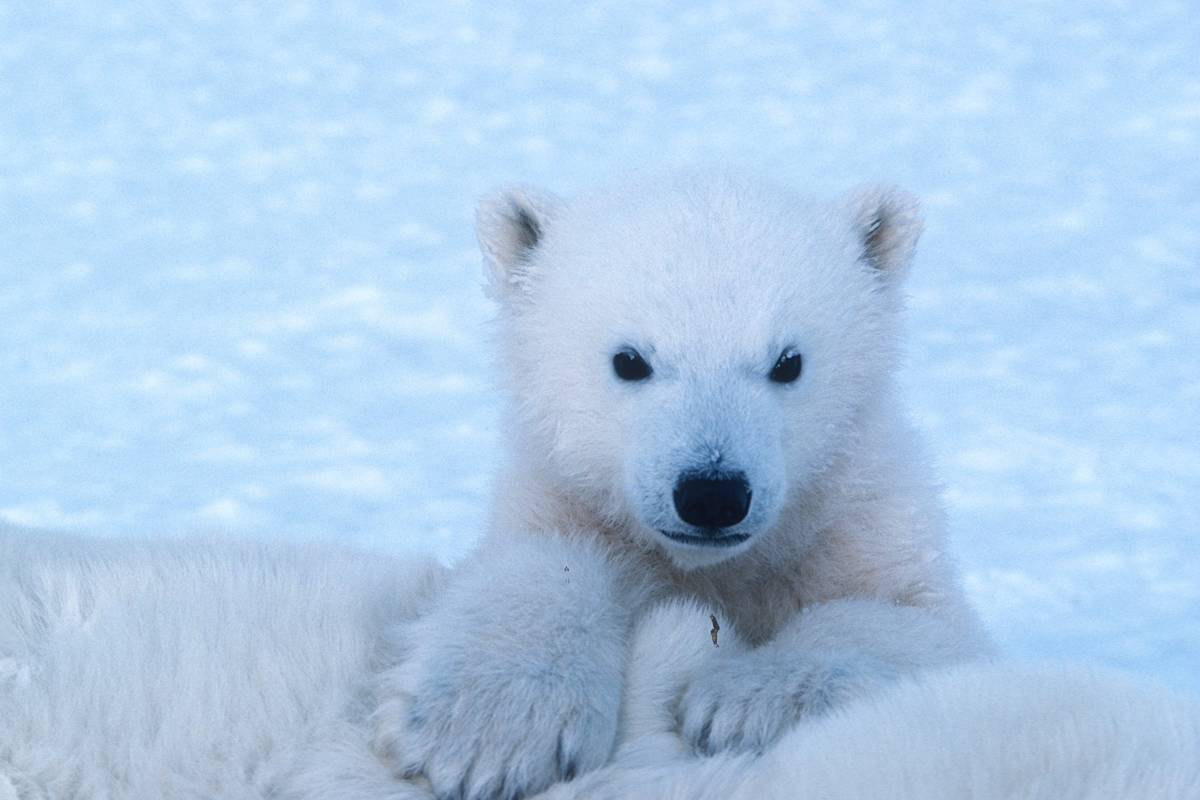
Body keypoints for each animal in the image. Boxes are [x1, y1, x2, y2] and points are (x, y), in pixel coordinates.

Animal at [372, 172, 993, 800]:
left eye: (788, 362)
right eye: (629, 360)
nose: (712, 495)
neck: (713, 569)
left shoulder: (860, 519)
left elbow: (912, 621)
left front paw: (745, 703)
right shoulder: (562, 500)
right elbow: (538, 561)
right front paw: (488, 729)